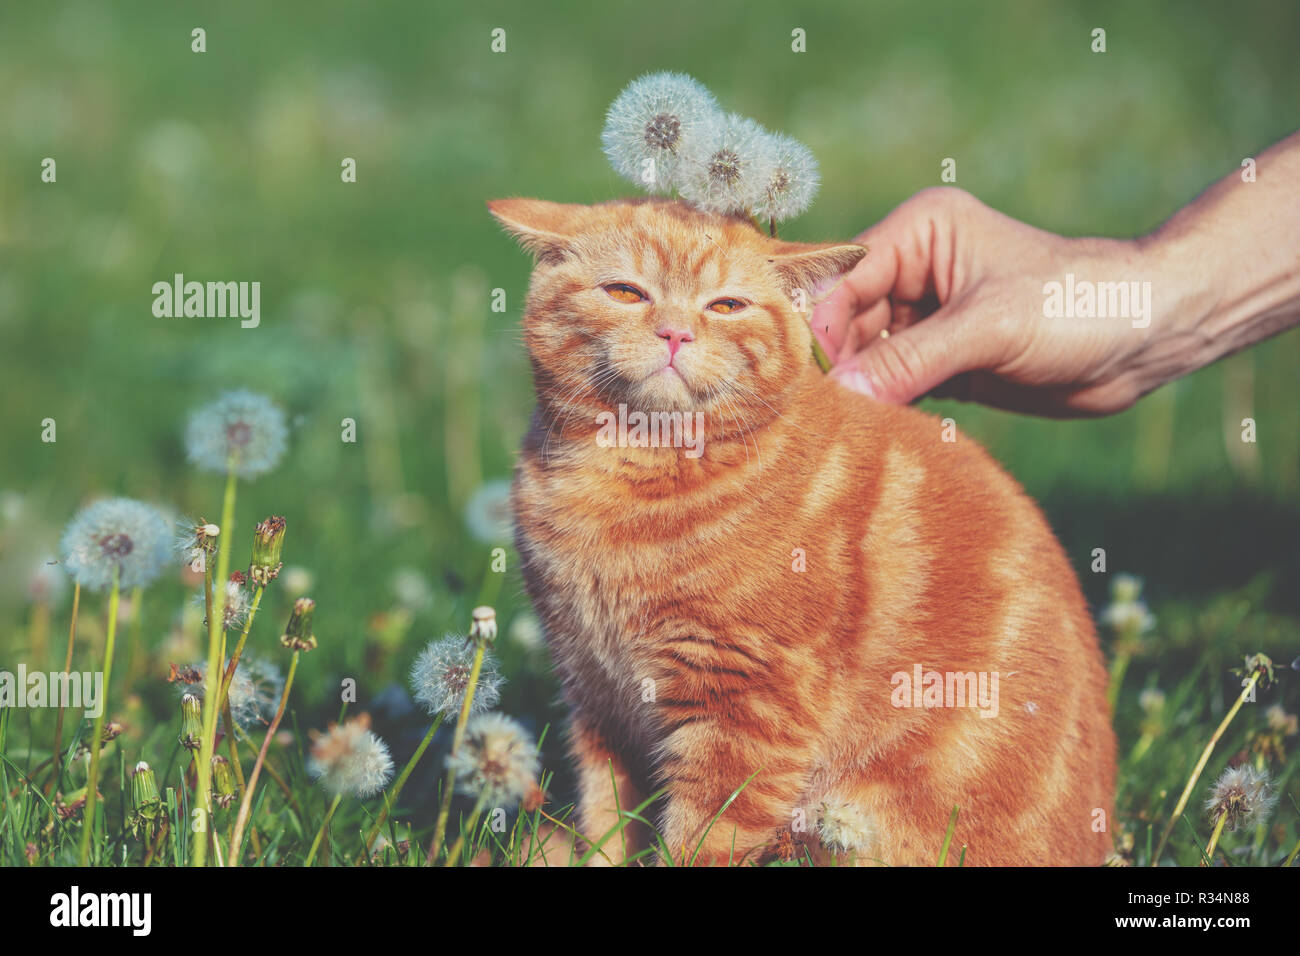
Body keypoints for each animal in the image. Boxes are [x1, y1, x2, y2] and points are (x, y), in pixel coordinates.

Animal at [491, 195, 1112, 868]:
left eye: (726, 306)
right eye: (626, 293)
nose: (675, 333)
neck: (627, 476)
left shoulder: (749, 709)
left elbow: (704, 838)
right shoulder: (598, 698)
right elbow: (608, 819)